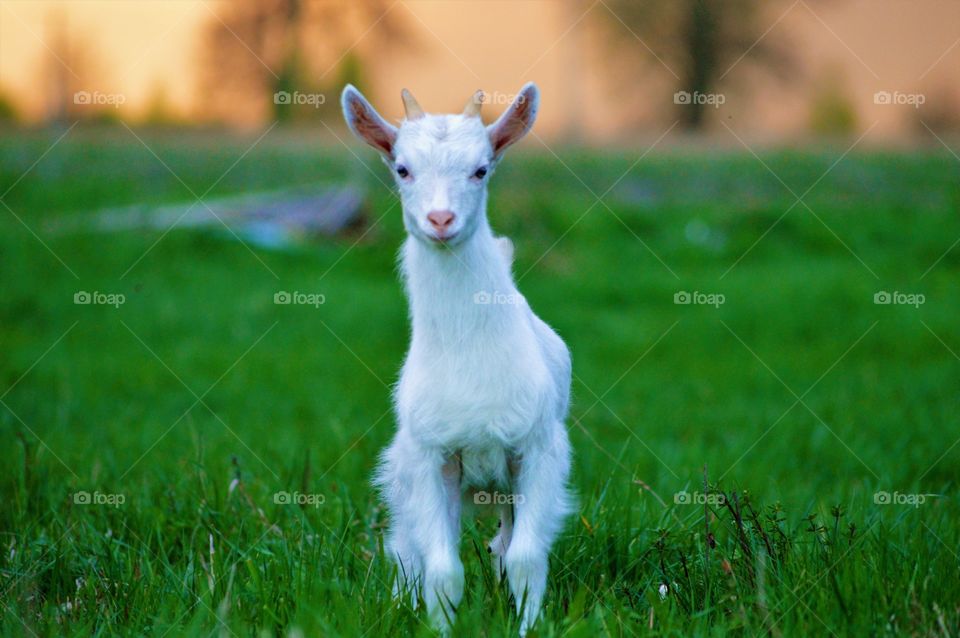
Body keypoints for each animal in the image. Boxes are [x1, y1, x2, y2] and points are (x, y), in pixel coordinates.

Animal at [344, 84, 572, 636]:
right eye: (401, 168)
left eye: (481, 169)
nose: (441, 220)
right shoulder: (430, 455)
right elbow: (442, 566)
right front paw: (438, 626)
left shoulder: (538, 447)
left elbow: (525, 558)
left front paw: (527, 626)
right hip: (402, 471)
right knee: (406, 547)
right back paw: (401, 602)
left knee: (503, 543)